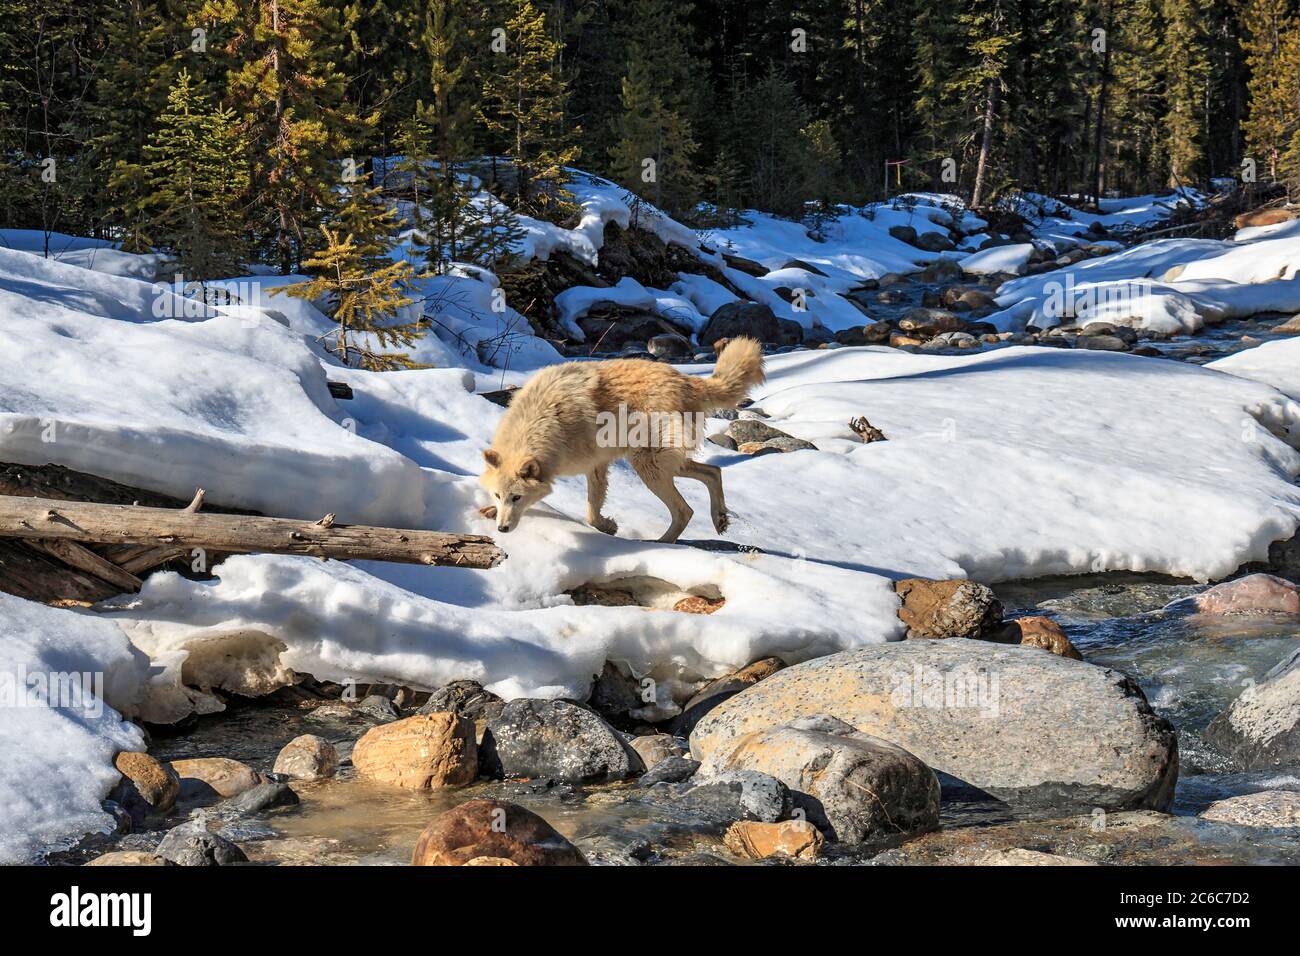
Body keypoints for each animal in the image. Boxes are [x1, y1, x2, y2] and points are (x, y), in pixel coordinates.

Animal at [478, 340, 759, 541]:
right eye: (498, 495)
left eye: (516, 497)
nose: (502, 530)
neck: (546, 418)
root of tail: (688, 381)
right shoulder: (597, 466)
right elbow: (592, 508)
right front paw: (490, 511)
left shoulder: (594, 465)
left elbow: (591, 513)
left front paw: (608, 527)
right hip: (661, 463)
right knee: (714, 471)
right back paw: (719, 519)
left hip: (648, 465)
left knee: (685, 510)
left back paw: (660, 544)